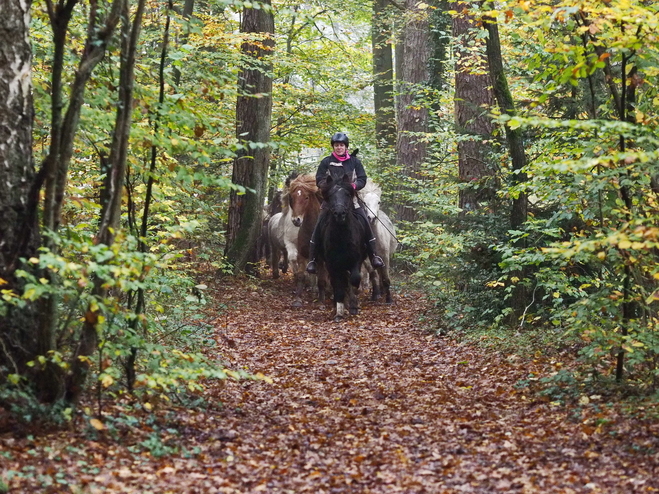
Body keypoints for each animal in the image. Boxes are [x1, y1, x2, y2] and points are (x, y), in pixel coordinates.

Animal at [318, 173, 368, 320]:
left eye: (347, 194)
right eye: (330, 195)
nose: (340, 214)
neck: (342, 238)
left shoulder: (356, 260)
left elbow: (355, 279)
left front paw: (353, 306)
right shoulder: (332, 264)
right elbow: (338, 286)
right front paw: (339, 312)